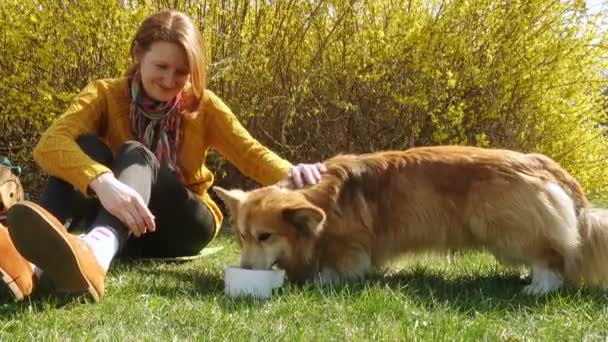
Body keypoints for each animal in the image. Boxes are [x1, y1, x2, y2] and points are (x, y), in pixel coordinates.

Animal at [213, 145, 608, 294]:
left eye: (265, 236)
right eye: (242, 237)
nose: (244, 269)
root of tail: (541, 163)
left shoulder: (349, 244)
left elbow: (340, 266)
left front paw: (323, 280)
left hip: (505, 229)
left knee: (550, 257)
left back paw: (538, 287)